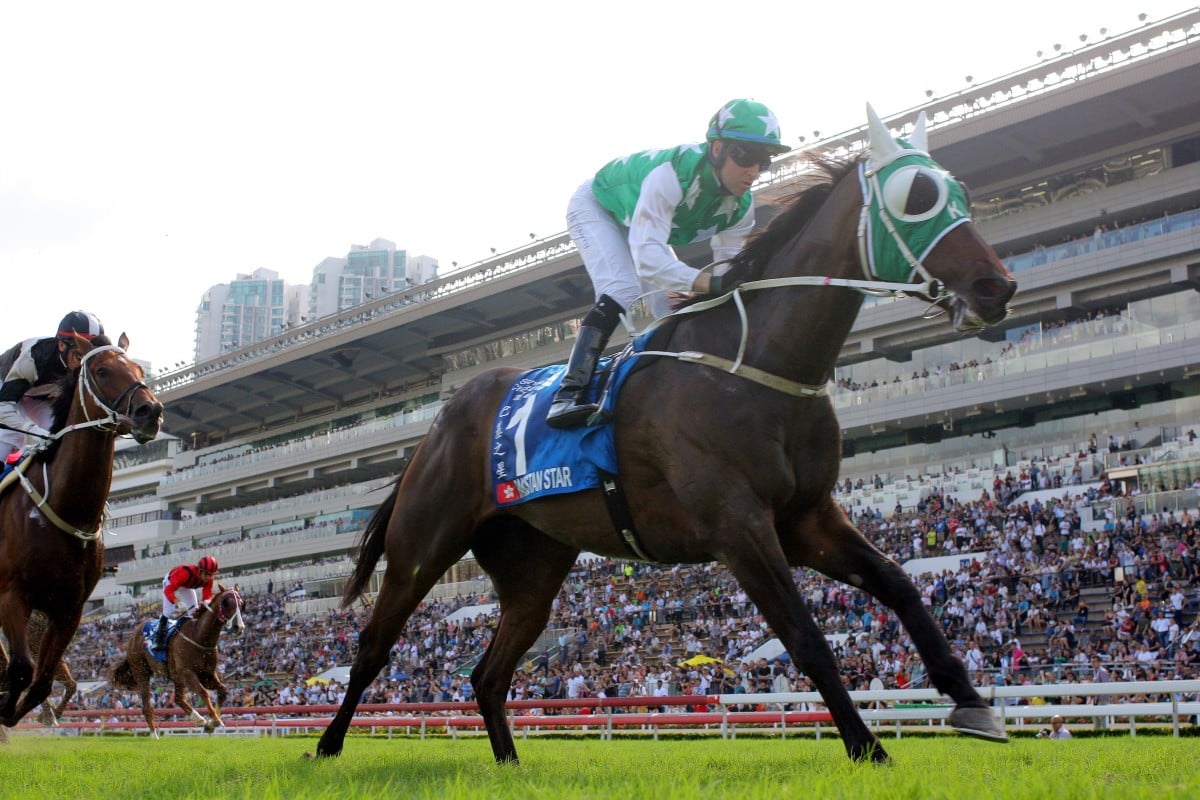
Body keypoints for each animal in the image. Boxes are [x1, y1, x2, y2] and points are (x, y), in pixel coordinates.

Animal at [0, 335, 163, 729]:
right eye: (102, 371)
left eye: (139, 369)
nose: (150, 411)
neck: (63, 506)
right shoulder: (13, 594)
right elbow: (21, 668)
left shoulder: (69, 609)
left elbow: (41, 682)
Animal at [110, 587, 246, 738]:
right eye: (227, 603)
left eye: (241, 604)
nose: (239, 627)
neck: (199, 637)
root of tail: (135, 633)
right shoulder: (188, 673)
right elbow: (204, 692)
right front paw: (214, 720)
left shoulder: (207, 674)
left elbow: (222, 690)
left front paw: (211, 722)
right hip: (142, 672)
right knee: (147, 707)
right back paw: (154, 735)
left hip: (176, 676)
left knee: (178, 699)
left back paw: (199, 719)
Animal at [316, 109, 1012, 767]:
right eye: (917, 196)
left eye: (961, 191)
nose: (996, 287)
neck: (758, 364)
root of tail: (440, 420)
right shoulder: (738, 525)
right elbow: (806, 637)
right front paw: (868, 748)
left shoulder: (807, 517)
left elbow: (900, 583)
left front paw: (971, 702)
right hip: (424, 544)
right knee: (373, 647)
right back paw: (325, 747)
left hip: (533, 566)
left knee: (488, 674)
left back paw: (510, 763)